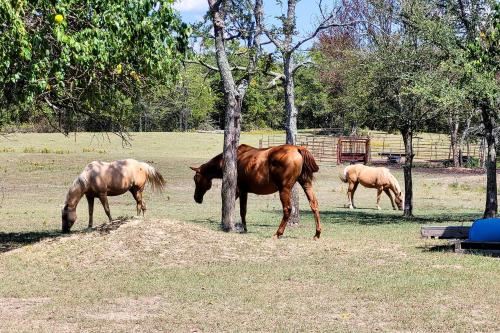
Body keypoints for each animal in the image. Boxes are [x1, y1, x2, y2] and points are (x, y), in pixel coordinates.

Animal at [189, 144, 322, 237]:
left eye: (195, 179)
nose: (196, 198)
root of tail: (298, 148)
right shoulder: (244, 191)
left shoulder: (240, 190)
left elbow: (240, 210)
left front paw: (243, 228)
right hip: (306, 183)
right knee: (314, 204)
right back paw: (317, 233)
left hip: (284, 188)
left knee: (288, 209)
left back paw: (278, 233)